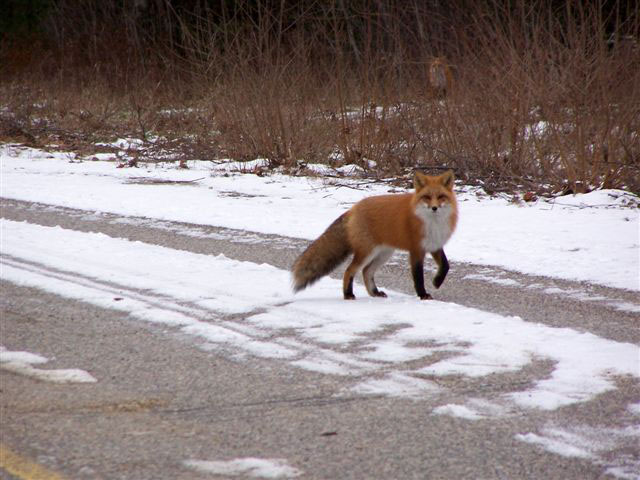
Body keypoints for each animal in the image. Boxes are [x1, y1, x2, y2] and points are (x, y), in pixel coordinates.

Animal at [292, 171, 458, 300]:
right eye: (427, 197)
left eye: (441, 196)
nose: (434, 208)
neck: (432, 224)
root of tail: (353, 208)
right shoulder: (416, 250)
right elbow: (418, 277)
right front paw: (423, 295)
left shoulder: (434, 244)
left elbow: (445, 265)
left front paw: (437, 282)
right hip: (367, 252)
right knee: (349, 270)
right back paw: (348, 294)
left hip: (384, 253)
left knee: (366, 271)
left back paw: (374, 292)